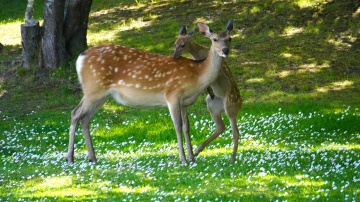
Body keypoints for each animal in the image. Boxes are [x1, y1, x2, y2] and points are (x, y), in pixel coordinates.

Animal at [67, 20, 233, 166]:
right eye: (214, 39)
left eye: (229, 38)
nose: (225, 50)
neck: (197, 75)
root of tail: (80, 58)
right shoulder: (172, 95)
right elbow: (178, 126)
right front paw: (183, 160)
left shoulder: (185, 102)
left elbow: (187, 127)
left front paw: (192, 158)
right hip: (93, 89)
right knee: (75, 113)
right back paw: (70, 158)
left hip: (103, 94)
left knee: (85, 118)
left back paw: (92, 158)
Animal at [174, 23, 242, 163]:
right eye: (175, 43)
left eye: (183, 44)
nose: (174, 55)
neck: (199, 55)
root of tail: (241, 103)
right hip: (212, 105)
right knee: (221, 126)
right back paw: (197, 150)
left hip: (231, 106)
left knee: (235, 132)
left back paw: (232, 160)